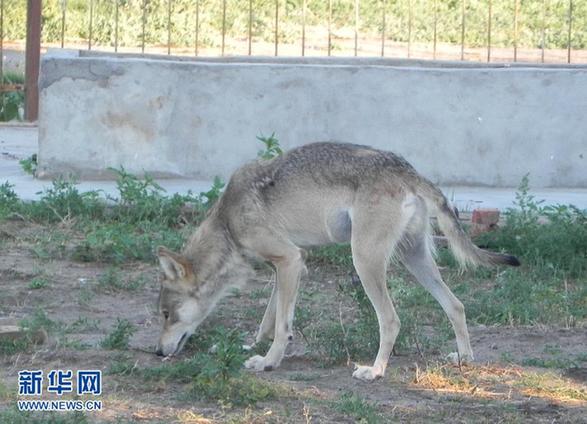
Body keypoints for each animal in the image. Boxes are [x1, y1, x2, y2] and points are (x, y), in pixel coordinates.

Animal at [153, 142, 520, 380]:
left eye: (166, 314)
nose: (157, 352)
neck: (227, 222)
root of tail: (407, 168)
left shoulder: (289, 260)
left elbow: (281, 326)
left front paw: (269, 362)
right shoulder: (289, 265)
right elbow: (268, 320)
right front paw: (251, 348)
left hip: (365, 261)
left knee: (391, 320)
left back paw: (375, 371)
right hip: (414, 259)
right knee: (456, 305)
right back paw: (464, 359)